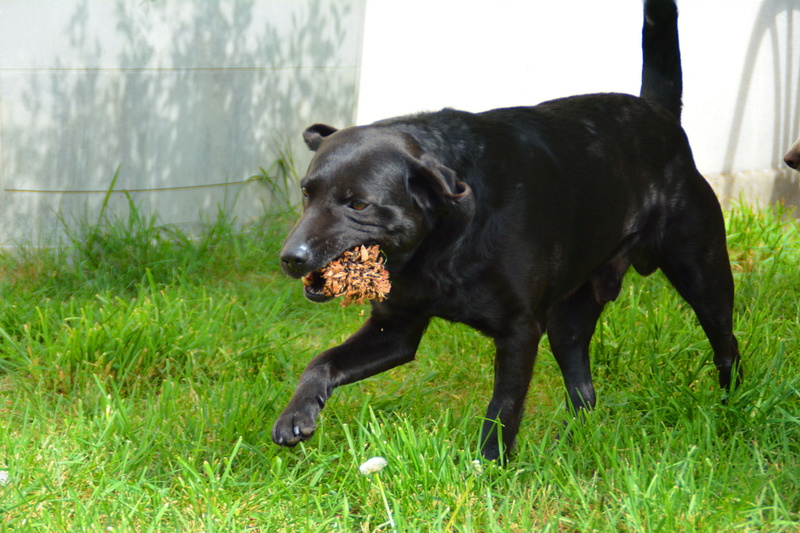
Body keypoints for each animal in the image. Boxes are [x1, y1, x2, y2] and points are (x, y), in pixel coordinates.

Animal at [272, 0, 740, 462]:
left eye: (359, 204)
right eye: (307, 192)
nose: (290, 258)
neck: (444, 243)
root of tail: (660, 114)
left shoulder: (519, 331)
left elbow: (504, 407)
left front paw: (488, 467)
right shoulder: (396, 328)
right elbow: (321, 361)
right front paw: (296, 415)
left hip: (703, 276)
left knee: (727, 346)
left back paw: (731, 413)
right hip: (569, 320)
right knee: (582, 388)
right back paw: (573, 446)